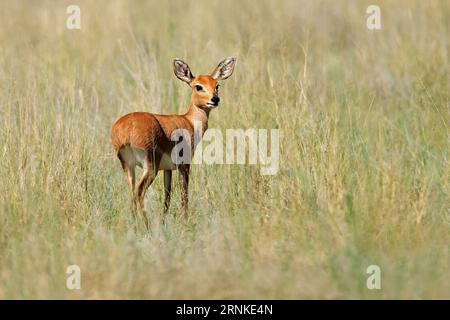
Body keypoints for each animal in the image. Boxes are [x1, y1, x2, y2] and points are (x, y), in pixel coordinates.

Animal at [111, 57, 237, 228]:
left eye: (217, 85)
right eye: (198, 86)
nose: (215, 99)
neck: (189, 121)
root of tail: (126, 128)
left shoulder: (168, 169)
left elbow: (167, 196)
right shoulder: (184, 165)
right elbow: (184, 194)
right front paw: (185, 221)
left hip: (128, 166)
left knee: (132, 193)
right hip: (150, 166)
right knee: (139, 192)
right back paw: (147, 226)